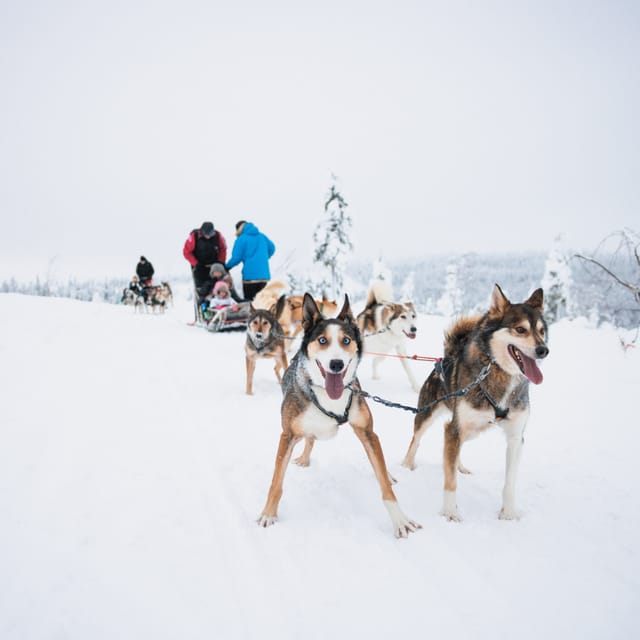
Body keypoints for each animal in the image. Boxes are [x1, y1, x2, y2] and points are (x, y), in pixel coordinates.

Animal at [258, 296, 422, 540]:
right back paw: (304, 458)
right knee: (309, 438)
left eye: (346, 340)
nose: (336, 364)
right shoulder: (287, 435)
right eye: (322, 340)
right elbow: (276, 482)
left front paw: (400, 520)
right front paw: (268, 514)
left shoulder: (367, 431)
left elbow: (383, 483)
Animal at [402, 284, 548, 520]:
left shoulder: (516, 437)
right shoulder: (453, 429)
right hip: (429, 416)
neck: (499, 375)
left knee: (458, 449)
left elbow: (510, 483)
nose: (544, 350)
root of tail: (447, 357)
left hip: (471, 430)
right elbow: (450, 481)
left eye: (542, 331)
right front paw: (450, 513)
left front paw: (508, 514)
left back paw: (460, 466)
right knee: (416, 440)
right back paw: (406, 466)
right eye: (520, 329)